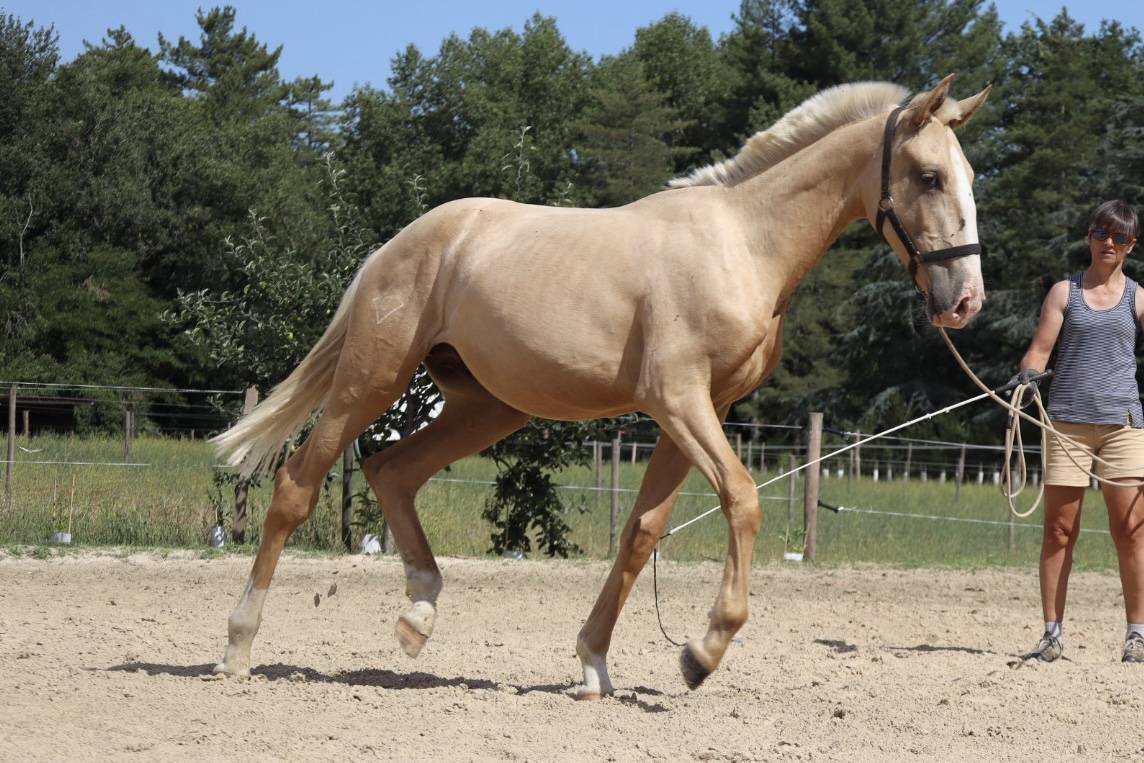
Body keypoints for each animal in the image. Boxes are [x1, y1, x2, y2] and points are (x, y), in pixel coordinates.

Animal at [210, 74, 991, 699]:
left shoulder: (700, 410)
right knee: (296, 485)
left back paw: (417, 617)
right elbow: (741, 500)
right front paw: (701, 651)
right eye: (928, 176)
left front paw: (593, 665)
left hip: (486, 405)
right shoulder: (679, 399)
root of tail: (394, 248)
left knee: (392, 470)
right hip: (373, 378)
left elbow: (641, 532)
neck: (742, 243)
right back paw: (237, 647)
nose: (965, 301)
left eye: (969, 178)